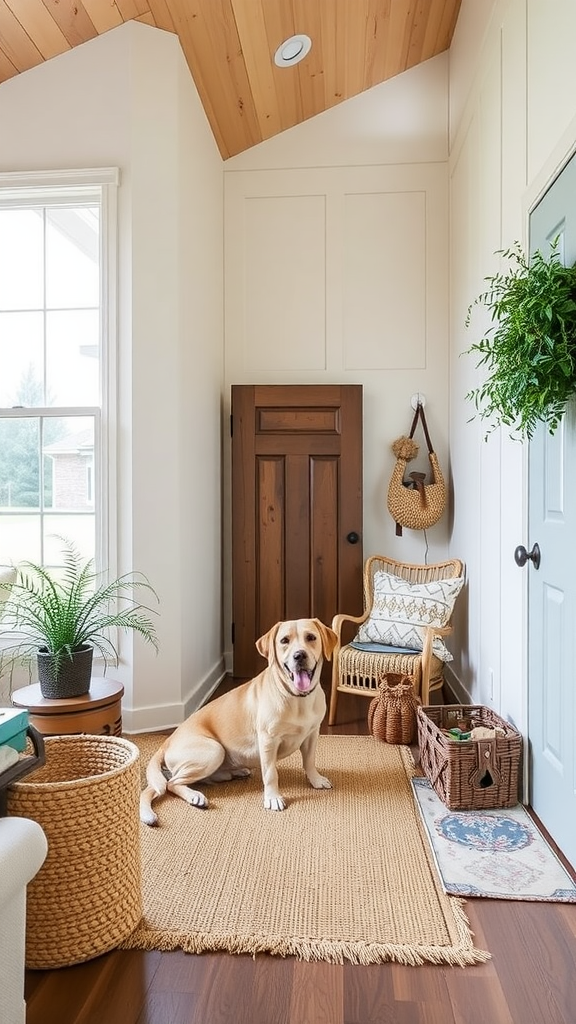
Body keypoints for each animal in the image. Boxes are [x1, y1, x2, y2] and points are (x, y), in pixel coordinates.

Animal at [139, 614, 336, 823]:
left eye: (311, 637)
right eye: (284, 641)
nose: (299, 656)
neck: (298, 699)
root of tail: (166, 741)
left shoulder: (312, 734)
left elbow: (309, 761)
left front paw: (316, 780)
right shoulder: (268, 740)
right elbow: (270, 773)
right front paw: (273, 798)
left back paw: (234, 772)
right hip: (213, 750)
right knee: (170, 783)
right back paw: (195, 796)